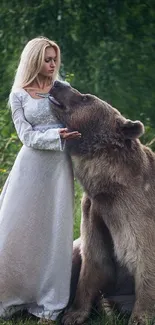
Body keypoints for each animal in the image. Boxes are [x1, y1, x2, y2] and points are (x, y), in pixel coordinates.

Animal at [49, 81, 155, 324]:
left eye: (85, 97)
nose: (58, 83)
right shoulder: (95, 210)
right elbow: (95, 259)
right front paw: (73, 313)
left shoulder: (137, 211)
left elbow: (144, 258)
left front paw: (140, 317)